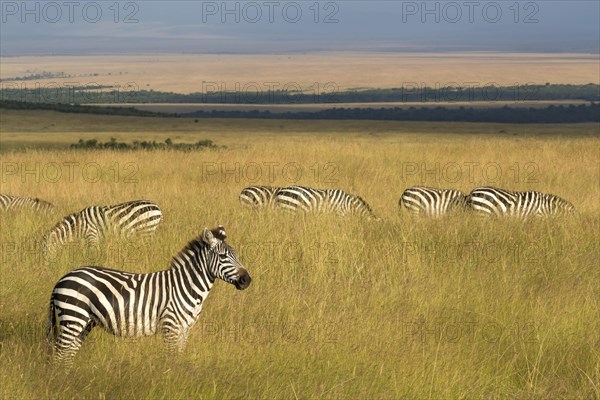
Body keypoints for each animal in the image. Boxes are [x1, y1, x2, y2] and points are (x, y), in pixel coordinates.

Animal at [47, 225, 251, 368]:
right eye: (224, 257)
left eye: (236, 255)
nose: (247, 280)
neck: (187, 286)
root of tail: (62, 278)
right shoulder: (171, 326)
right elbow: (172, 359)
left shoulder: (184, 329)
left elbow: (178, 357)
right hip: (73, 316)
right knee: (60, 353)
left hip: (84, 322)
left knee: (68, 353)